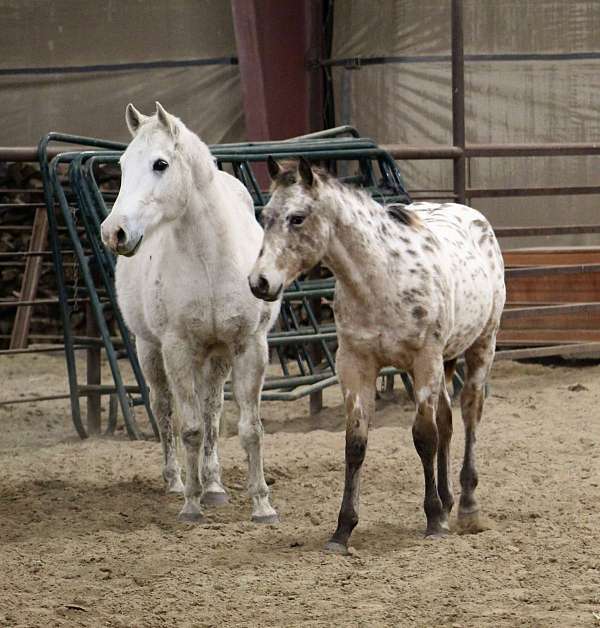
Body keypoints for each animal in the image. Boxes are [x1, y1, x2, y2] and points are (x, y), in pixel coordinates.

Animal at [102, 104, 280, 524]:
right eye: (122, 164)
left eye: (160, 163)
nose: (114, 232)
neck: (210, 258)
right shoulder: (177, 349)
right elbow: (190, 428)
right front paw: (191, 505)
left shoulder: (249, 346)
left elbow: (248, 428)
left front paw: (262, 506)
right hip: (150, 349)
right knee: (165, 409)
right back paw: (178, 481)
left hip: (217, 356)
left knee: (213, 408)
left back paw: (214, 484)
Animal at [248, 158, 506, 556]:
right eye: (265, 216)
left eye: (298, 217)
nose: (259, 282)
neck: (381, 278)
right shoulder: (355, 365)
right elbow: (356, 444)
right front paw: (342, 531)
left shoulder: (424, 361)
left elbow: (424, 436)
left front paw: (434, 521)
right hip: (444, 362)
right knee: (447, 421)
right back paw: (448, 501)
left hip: (481, 345)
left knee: (469, 414)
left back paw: (466, 507)